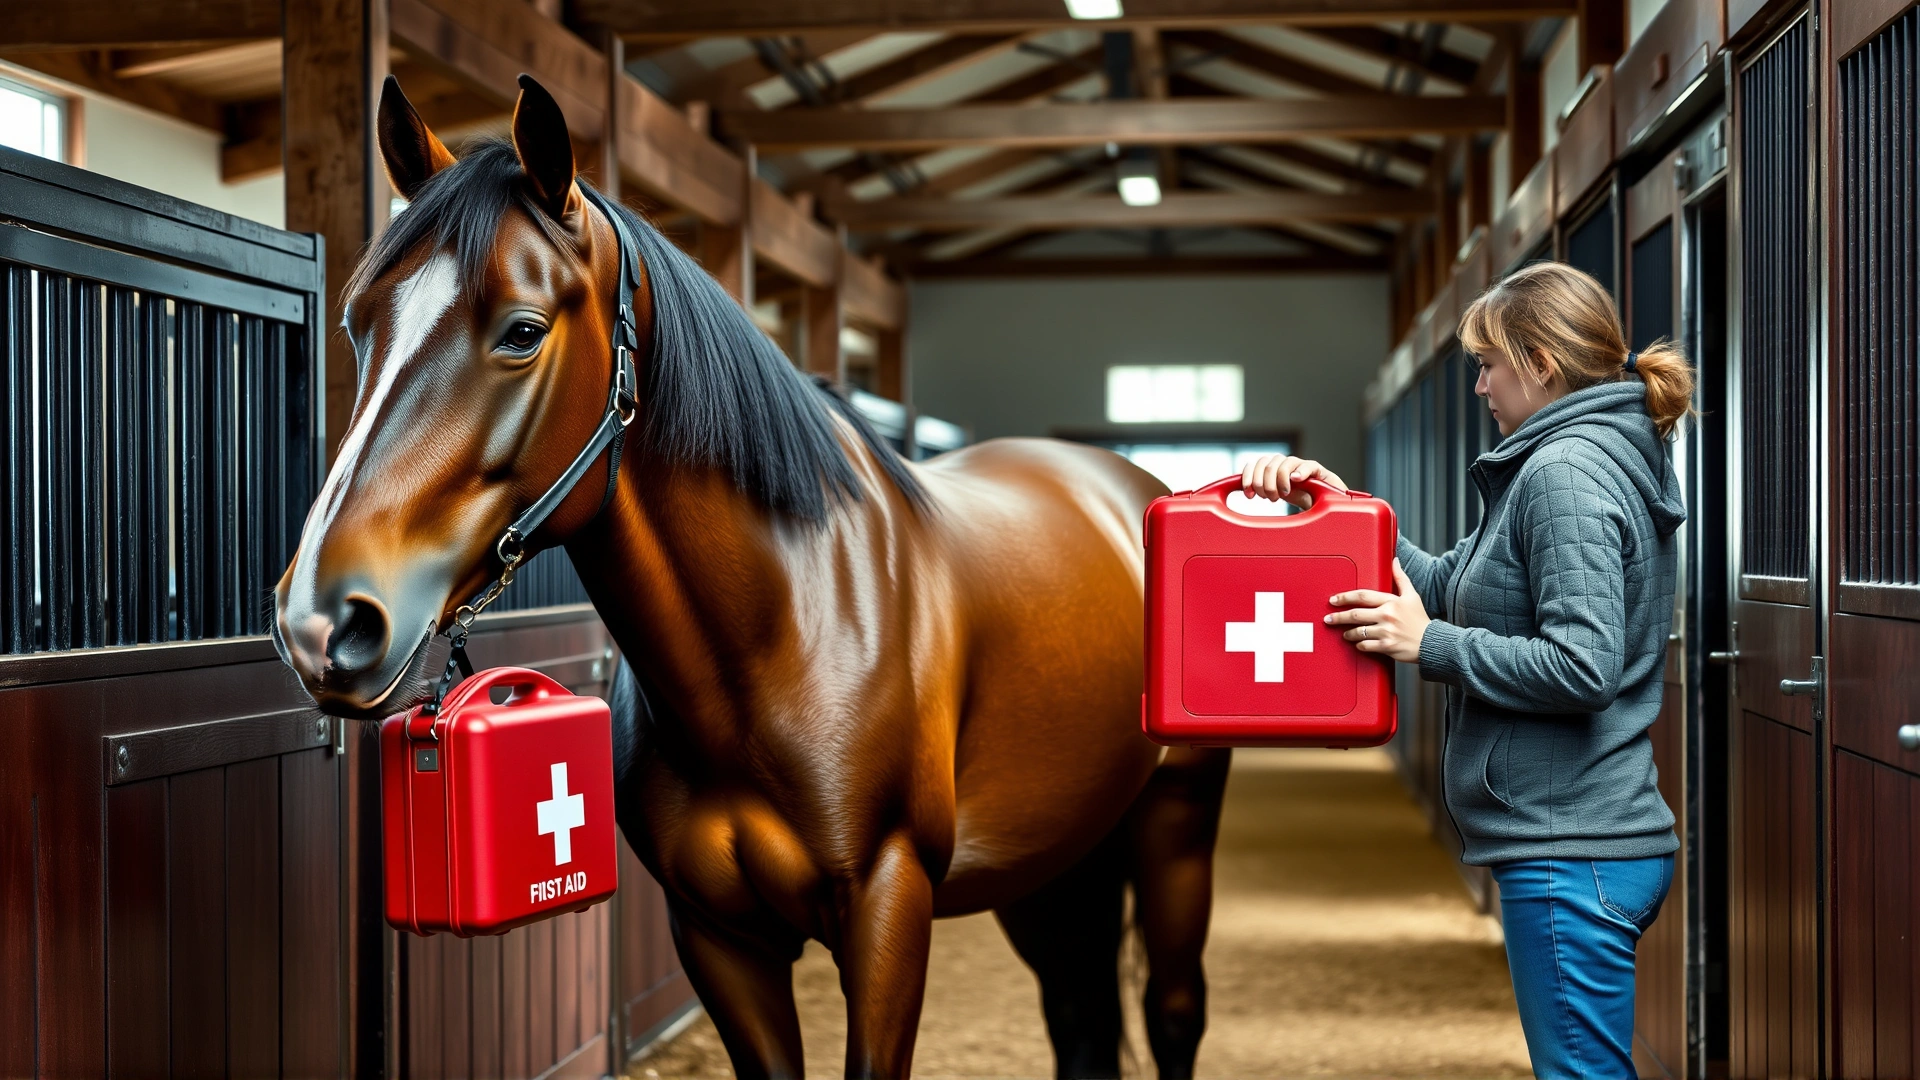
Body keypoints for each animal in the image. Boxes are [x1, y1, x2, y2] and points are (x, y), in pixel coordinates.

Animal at [273, 73, 1231, 1080]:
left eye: (523, 331)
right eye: (356, 325)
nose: (320, 620)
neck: (787, 630)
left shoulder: (890, 909)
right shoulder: (718, 937)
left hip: (1175, 827)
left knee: (1171, 1012)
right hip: (1057, 862)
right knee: (1082, 1016)